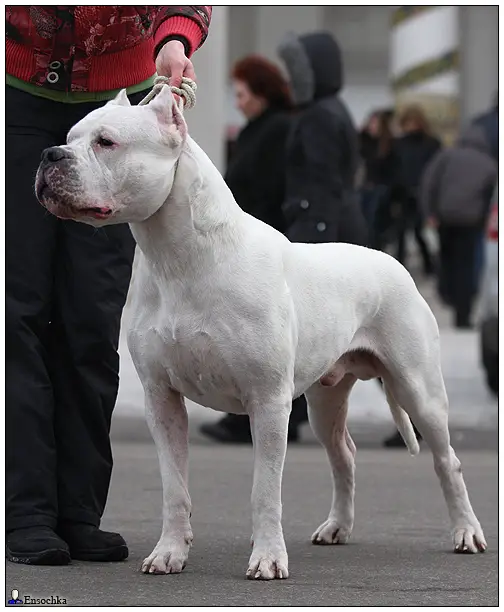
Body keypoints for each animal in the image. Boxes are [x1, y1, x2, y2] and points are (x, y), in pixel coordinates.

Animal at [35, 85, 484, 580]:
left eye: (107, 142)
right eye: (70, 137)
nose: (49, 155)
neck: (180, 258)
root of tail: (393, 261)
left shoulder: (268, 401)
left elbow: (264, 489)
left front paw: (268, 556)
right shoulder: (162, 399)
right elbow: (174, 487)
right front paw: (169, 552)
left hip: (418, 389)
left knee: (448, 461)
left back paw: (466, 532)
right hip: (326, 399)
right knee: (343, 454)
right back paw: (338, 526)